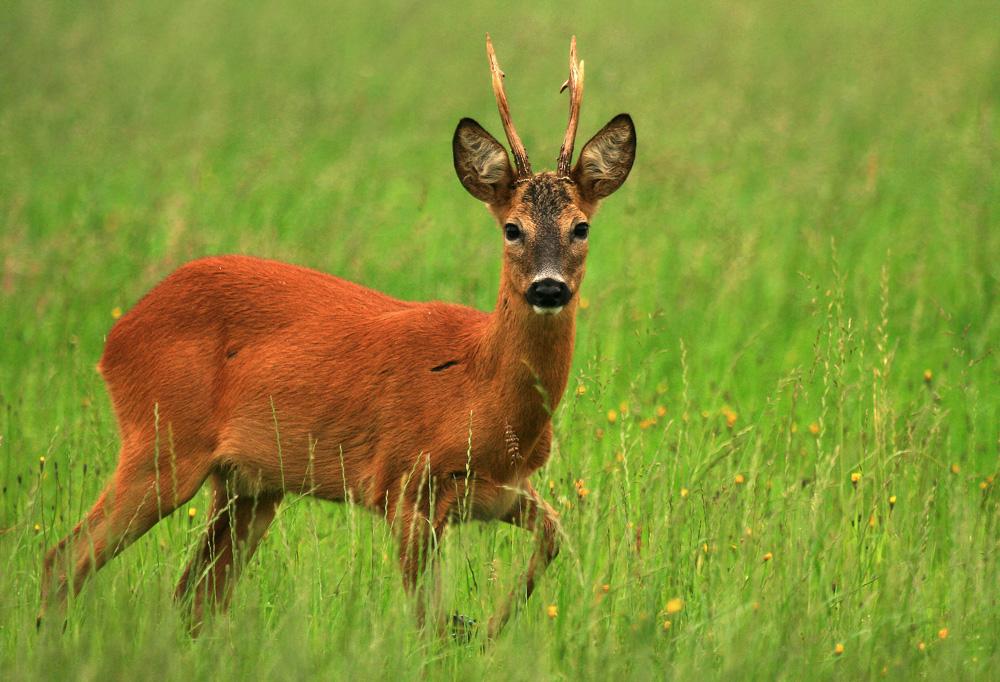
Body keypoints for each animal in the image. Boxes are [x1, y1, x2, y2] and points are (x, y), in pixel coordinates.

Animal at [39, 34, 636, 636]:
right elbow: (425, 621)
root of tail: (117, 334)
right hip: (162, 443)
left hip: (248, 484)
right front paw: (467, 629)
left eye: (581, 227)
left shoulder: (504, 493)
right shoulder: (404, 484)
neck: (480, 394)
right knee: (66, 557)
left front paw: (487, 627)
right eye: (512, 228)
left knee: (193, 595)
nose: (548, 287)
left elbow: (554, 539)